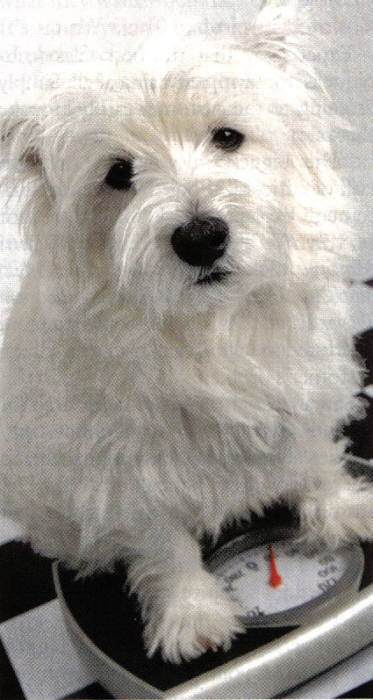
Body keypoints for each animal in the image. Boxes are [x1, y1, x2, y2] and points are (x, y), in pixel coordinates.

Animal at [0, 2, 372, 664]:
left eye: (227, 137)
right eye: (118, 174)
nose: (201, 237)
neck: (211, 323)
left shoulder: (303, 385)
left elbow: (312, 457)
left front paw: (346, 511)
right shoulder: (124, 465)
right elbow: (163, 542)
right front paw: (192, 618)